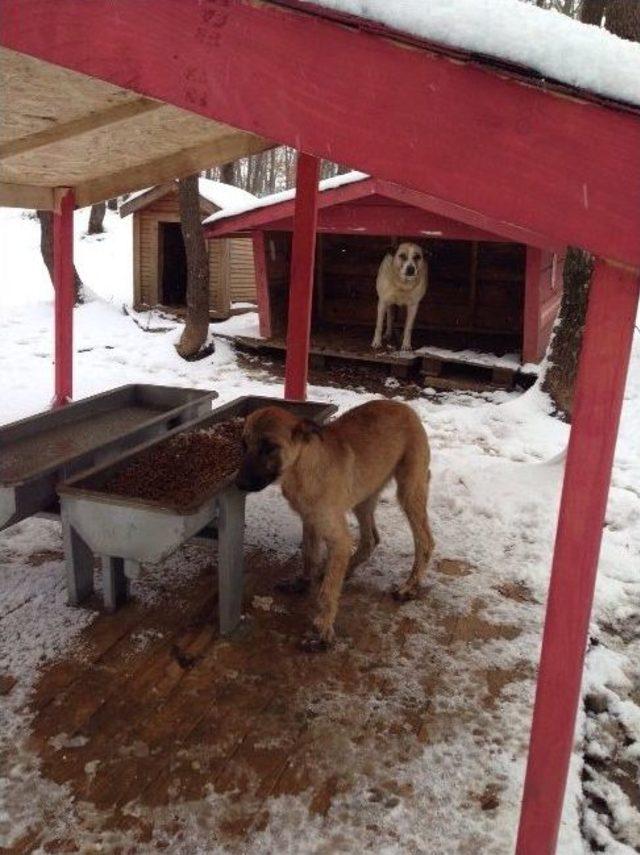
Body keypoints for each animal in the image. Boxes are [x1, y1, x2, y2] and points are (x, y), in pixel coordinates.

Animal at [235, 400, 436, 648]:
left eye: (269, 447)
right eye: (244, 444)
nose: (239, 483)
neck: (302, 468)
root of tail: (404, 406)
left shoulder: (338, 538)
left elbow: (327, 592)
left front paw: (322, 629)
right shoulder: (310, 521)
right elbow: (309, 555)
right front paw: (303, 582)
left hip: (409, 491)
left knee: (425, 541)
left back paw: (409, 586)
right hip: (364, 497)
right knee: (370, 539)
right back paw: (347, 568)